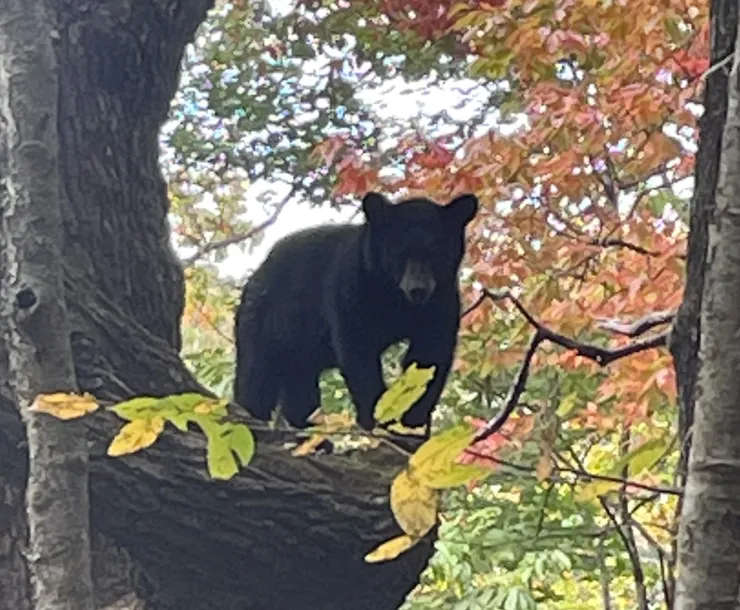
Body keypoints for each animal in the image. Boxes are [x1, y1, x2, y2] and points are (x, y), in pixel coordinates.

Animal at [233, 191, 478, 433]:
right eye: (399, 253)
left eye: (436, 253)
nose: (418, 289)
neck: (394, 297)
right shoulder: (351, 287)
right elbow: (359, 350)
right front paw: (377, 416)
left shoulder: (442, 299)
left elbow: (431, 351)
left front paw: (412, 417)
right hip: (262, 321)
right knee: (257, 377)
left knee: (299, 383)